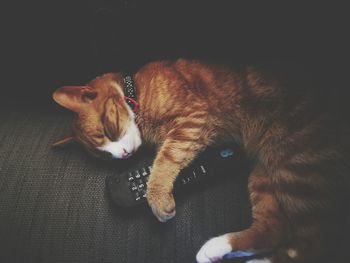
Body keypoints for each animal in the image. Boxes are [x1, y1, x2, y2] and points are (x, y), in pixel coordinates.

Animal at [52, 58, 350, 262]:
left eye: (107, 129)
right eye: (104, 155)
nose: (123, 155)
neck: (136, 90)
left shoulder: (193, 119)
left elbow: (165, 160)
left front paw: (156, 197)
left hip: (295, 168)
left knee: (312, 248)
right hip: (265, 176)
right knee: (275, 229)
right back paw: (216, 250)